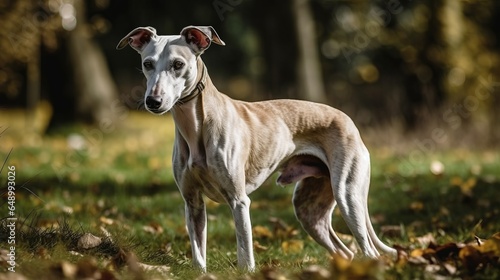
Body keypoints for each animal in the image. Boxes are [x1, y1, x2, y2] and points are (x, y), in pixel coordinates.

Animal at [117, 25, 394, 272]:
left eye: (177, 64)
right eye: (148, 64)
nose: (153, 101)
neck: (196, 127)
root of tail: (349, 121)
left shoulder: (239, 201)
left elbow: (245, 252)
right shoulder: (192, 202)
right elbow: (198, 256)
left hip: (348, 195)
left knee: (369, 251)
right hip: (309, 210)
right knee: (345, 251)